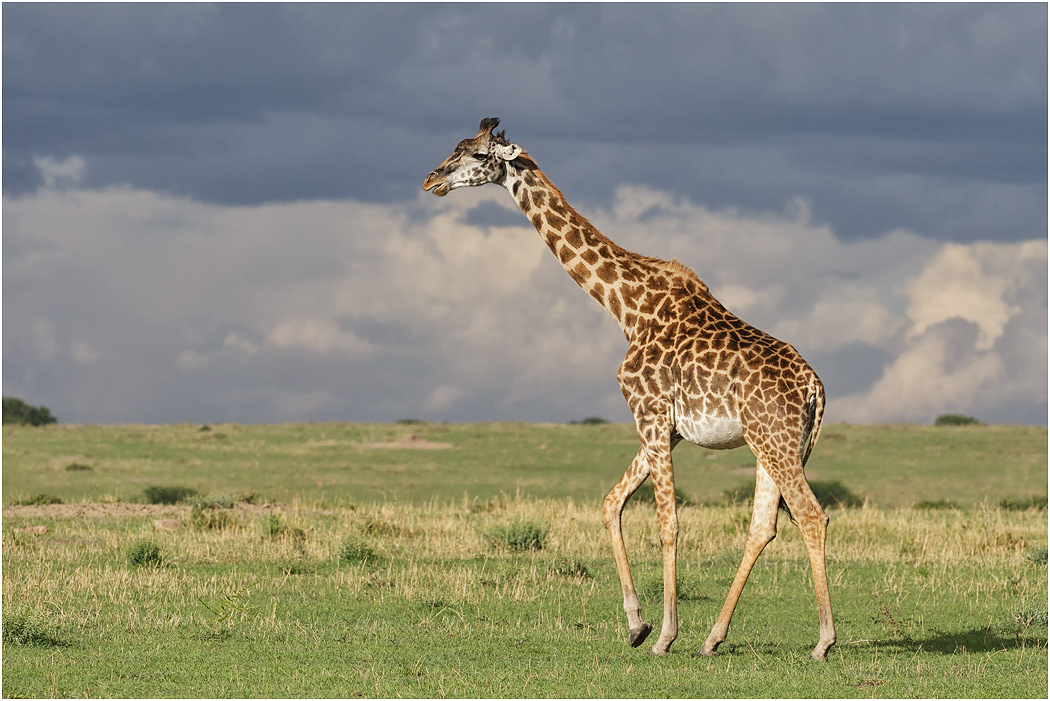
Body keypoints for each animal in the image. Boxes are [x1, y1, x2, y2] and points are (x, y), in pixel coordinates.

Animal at [423, 118, 836, 661]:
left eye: (475, 153)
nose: (431, 179)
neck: (626, 308)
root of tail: (815, 387)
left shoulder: (650, 413)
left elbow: (668, 523)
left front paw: (663, 636)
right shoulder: (665, 426)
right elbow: (610, 502)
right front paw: (637, 625)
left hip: (775, 439)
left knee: (810, 515)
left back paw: (823, 641)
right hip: (769, 442)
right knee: (763, 526)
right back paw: (713, 639)